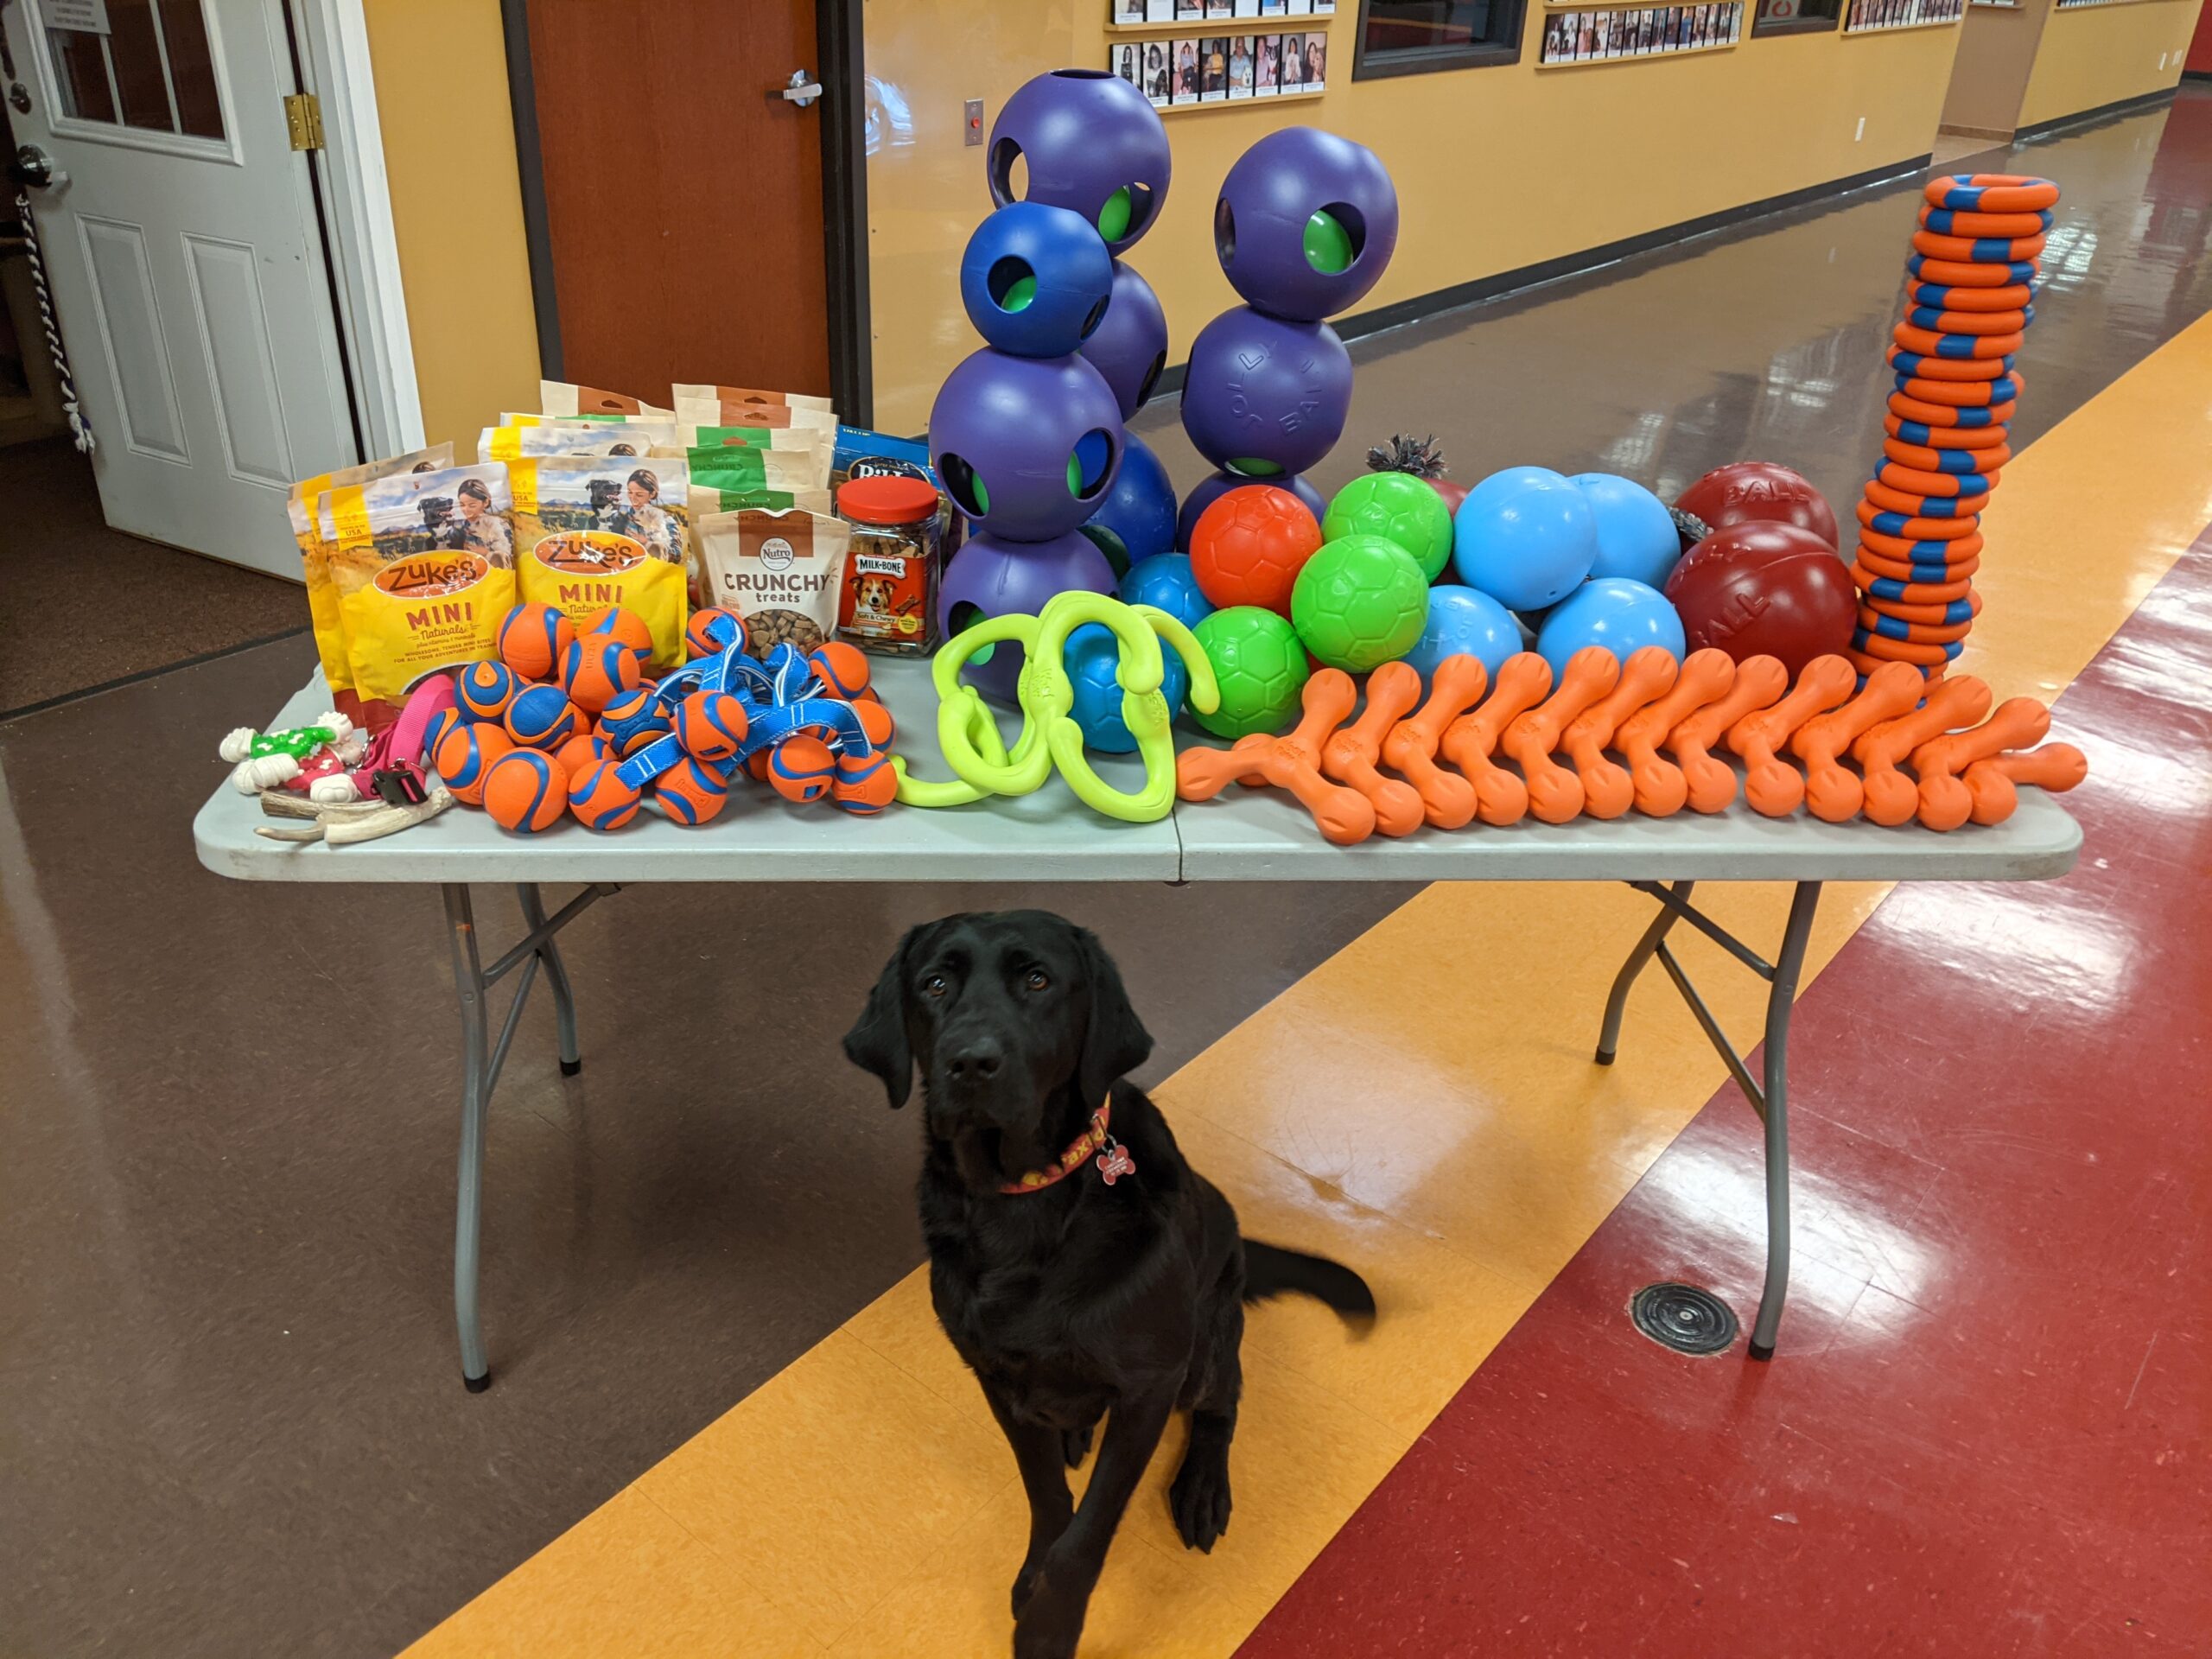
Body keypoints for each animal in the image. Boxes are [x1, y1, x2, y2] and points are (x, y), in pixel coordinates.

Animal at [840, 915, 1371, 1654]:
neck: (1024, 1205)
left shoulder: (1150, 1386)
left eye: (1038, 981)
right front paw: (1033, 1572)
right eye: (935, 984)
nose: (969, 1063)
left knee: (1225, 1398)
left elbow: (1087, 1534)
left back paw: (1202, 1487)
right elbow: (1045, 1496)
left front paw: (1048, 1628)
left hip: (1204, 1347)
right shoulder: (995, 1377)